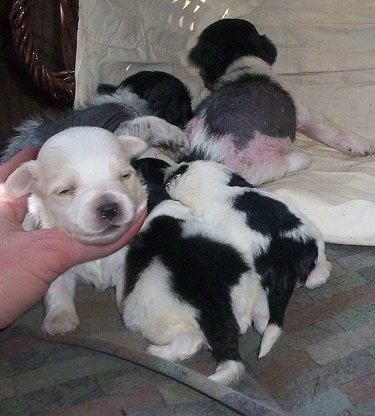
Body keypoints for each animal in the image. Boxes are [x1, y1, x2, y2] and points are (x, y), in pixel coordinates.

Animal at [6, 127, 147, 334]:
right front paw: (60, 320)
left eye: (125, 176)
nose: (109, 209)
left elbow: (125, 286)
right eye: (65, 191)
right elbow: (58, 289)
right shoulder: (56, 265)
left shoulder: (125, 258)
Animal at [164, 159, 332, 358]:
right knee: (320, 274)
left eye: (180, 172)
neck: (221, 189)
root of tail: (286, 259)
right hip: (316, 250)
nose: (168, 173)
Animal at [188, 17, 375, 184]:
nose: (204, 79)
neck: (240, 60)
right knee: (295, 162)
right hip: (267, 164)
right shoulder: (305, 114)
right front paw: (365, 145)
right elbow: (336, 132)